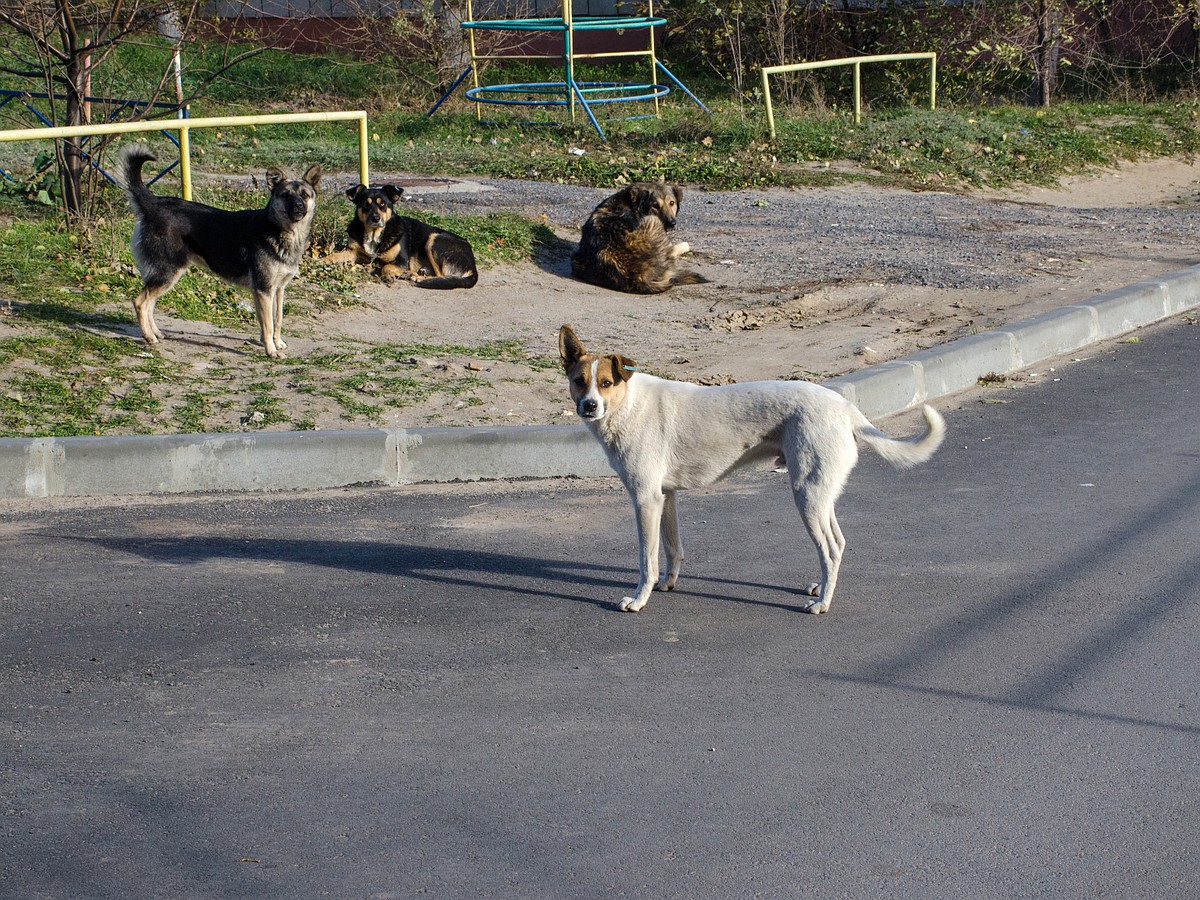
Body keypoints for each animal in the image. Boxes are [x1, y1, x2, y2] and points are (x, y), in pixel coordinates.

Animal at [116, 142, 321, 357]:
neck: (281, 231)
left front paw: (277, 343)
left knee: (150, 303)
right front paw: (271, 350)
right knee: (140, 302)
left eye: (305, 195)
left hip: (164, 275)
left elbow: (277, 319)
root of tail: (154, 204)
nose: (298, 206)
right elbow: (268, 325)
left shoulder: (278, 290)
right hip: (168, 272)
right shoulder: (264, 290)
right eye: (286, 195)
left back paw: (155, 332)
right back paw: (149, 336)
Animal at [324, 184, 482, 290]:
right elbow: (335, 256)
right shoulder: (352, 252)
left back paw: (417, 277)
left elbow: (386, 266)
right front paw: (321, 261)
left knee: (442, 274)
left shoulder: (402, 260)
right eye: (365, 205)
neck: (375, 234)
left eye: (383, 205)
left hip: (434, 239)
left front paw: (388, 275)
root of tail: (473, 266)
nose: (375, 219)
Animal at [561, 328, 945, 619]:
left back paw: (822, 603)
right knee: (838, 542)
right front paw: (667, 583)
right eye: (579, 381)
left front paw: (640, 599)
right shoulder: (664, 497)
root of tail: (845, 407)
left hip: (806, 496)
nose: (589, 406)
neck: (627, 405)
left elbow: (646, 559)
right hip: (821, 494)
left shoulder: (645, 500)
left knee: (831, 549)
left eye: (606, 382)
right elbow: (671, 548)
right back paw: (822, 586)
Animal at [568, 181, 705, 294]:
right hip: (654, 221)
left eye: (672, 203)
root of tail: (636, 277)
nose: (672, 223)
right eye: (655, 206)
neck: (630, 202)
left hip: (577, 260)